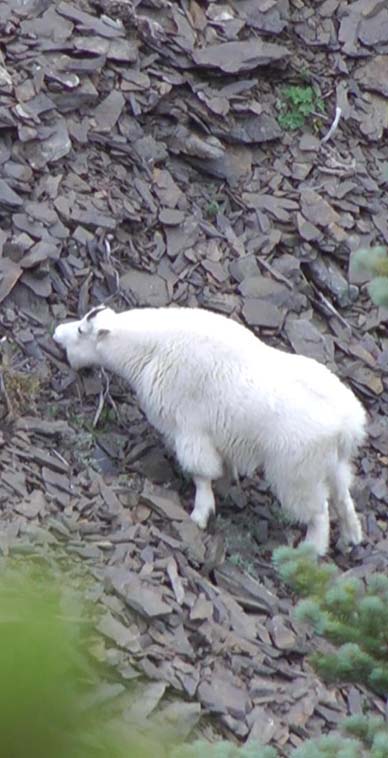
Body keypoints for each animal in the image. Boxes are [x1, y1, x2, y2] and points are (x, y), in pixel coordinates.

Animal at [52, 304, 366, 560]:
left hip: (297, 473)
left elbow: (201, 473)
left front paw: (200, 515)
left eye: (81, 330)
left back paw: (311, 550)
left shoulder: (190, 430)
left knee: (319, 512)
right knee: (343, 498)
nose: (56, 333)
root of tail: (348, 424)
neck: (150, 350)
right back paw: (350, 539)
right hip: (331, 465)